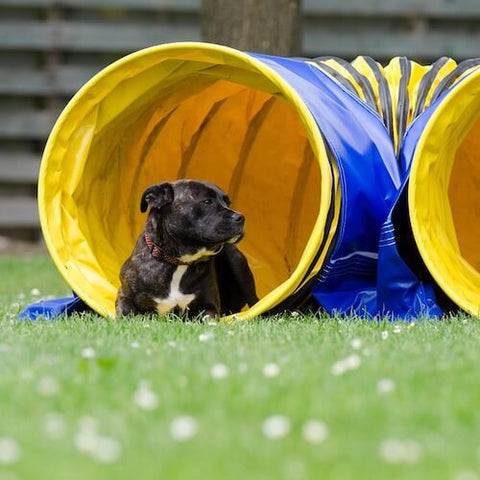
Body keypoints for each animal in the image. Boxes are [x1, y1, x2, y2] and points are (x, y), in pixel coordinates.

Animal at [115, 178, 258, 316]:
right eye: (207, 202)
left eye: (228, 203)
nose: (241, 217)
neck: (179, 262)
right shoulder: (124, 295)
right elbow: (125, 311)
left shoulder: (209, 306)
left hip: (238, 263)